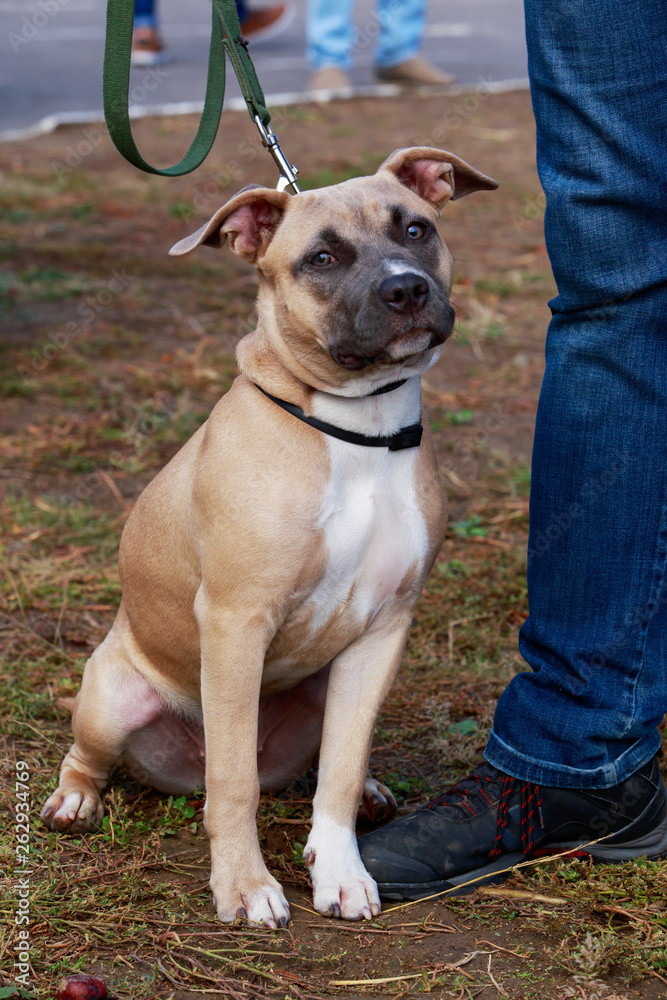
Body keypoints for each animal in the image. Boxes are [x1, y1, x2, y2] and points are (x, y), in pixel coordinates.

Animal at [40, 148, 496, 928]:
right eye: (321, 258)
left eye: (416, 229)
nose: (406, 289)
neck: (357, 429)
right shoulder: (235, 621)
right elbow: (235, 782)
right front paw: (245, 885)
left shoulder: (382, 631)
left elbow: (339, 769)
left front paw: (340, 871)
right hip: (111, 697)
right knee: (95, 758)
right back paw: (74, 800)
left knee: (322, 766)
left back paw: (369, 794)